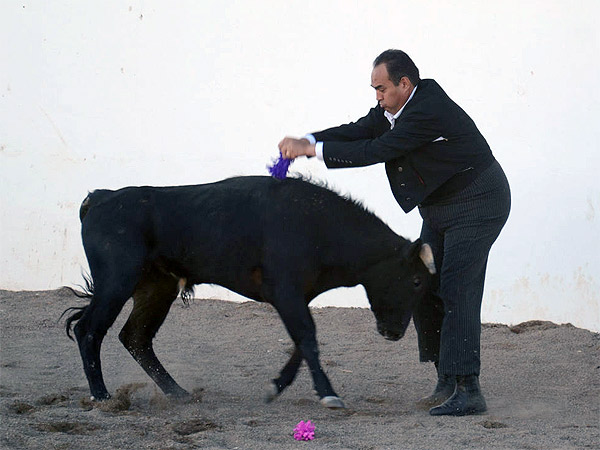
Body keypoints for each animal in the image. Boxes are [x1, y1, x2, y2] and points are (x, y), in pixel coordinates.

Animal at [63, 175, 434, 408]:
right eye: (416, 281)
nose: (394, 332)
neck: (320, 225)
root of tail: (102, 197)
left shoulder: (297, 297)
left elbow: (304, 341)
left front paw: (275, 387)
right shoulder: (286, 293)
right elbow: (308, 338)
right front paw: (329, 394)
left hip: (157, 287)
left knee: (136, 337)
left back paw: (179, 393)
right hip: (116, 281)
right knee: (89, 330)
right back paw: (102, 397)